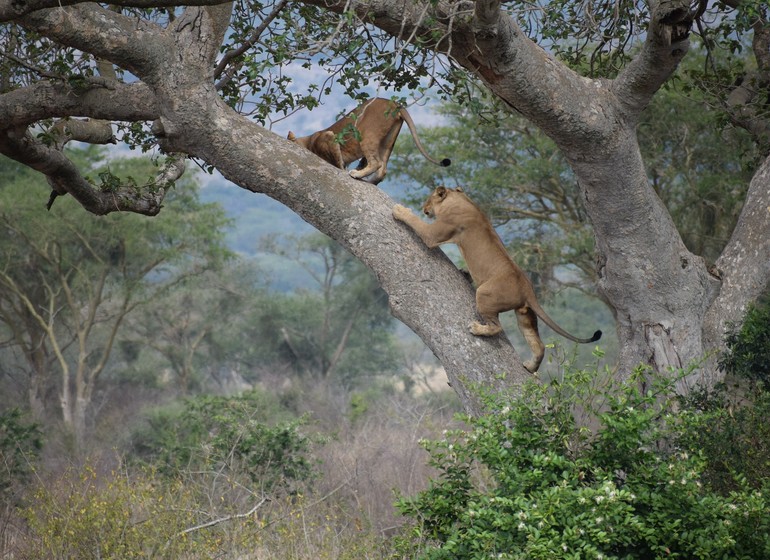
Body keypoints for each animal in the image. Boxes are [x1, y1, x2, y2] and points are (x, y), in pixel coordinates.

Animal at [284, 96, 448, 184]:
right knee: (382, 168)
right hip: (388, 141)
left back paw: (357, 174)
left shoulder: (329, 137)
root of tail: (394, 103)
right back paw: (370, 180)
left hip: (366, 134)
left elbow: (337, 160)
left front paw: (344, 169)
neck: (308, 140)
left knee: (376, 162)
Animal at [390, 186, 600, 374]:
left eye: (428, 199)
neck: (461, 200)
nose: (424, 208)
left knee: (497, 327)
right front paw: (464, 272)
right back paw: (530, 367)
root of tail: (528, 289)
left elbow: (416, 223)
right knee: (538, 345)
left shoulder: (435, 234)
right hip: (525, 315)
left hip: (484, 294)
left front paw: (400, 210)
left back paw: (477, 328)